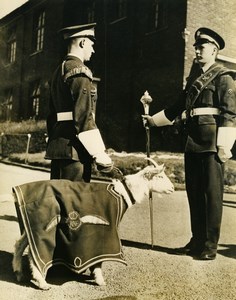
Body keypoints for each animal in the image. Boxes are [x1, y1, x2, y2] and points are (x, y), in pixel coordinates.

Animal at [12, 158, 173, 290]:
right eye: (159, 176)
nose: (172, 188)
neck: (122, 193)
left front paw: (94, 275)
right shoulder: (104, 233)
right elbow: (99, 258)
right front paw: (99, 279)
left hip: (31, 227)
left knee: (20, 245)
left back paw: (19, 274)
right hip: (42, 228)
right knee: (35, 254)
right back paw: (42, 283)